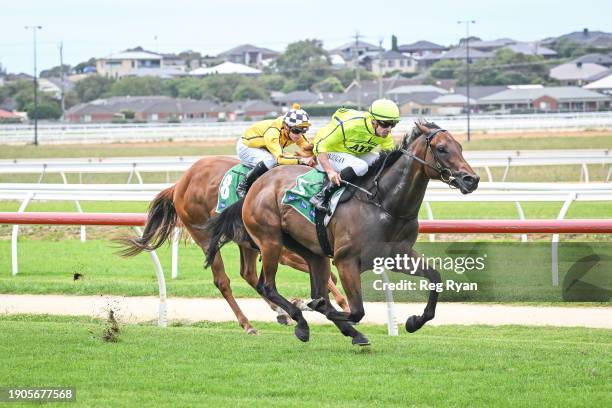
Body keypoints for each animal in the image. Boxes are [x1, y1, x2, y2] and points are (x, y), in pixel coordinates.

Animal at [119, 155, 350, 334]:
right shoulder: (285, 253)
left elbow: (330, 276)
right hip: (204, 236)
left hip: (245, 242)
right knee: (223, 281)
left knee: (248, 274)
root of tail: (181, 183)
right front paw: (338, 305)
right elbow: (330, 277)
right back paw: (248, 324)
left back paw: (280, 313)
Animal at [208, 122, 480, 346]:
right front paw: (314, 308)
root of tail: (255, 185)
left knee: (311, 288)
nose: (472, 179)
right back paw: (302, 321)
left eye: (460, 146)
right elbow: (356, 310)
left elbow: (435, 277)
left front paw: (414, 321)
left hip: (312, 252)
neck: (384, 203)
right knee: (268, 285)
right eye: (442, 149)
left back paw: (339, 328)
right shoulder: (346, 260)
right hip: (270, 241)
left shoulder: (397, 255)